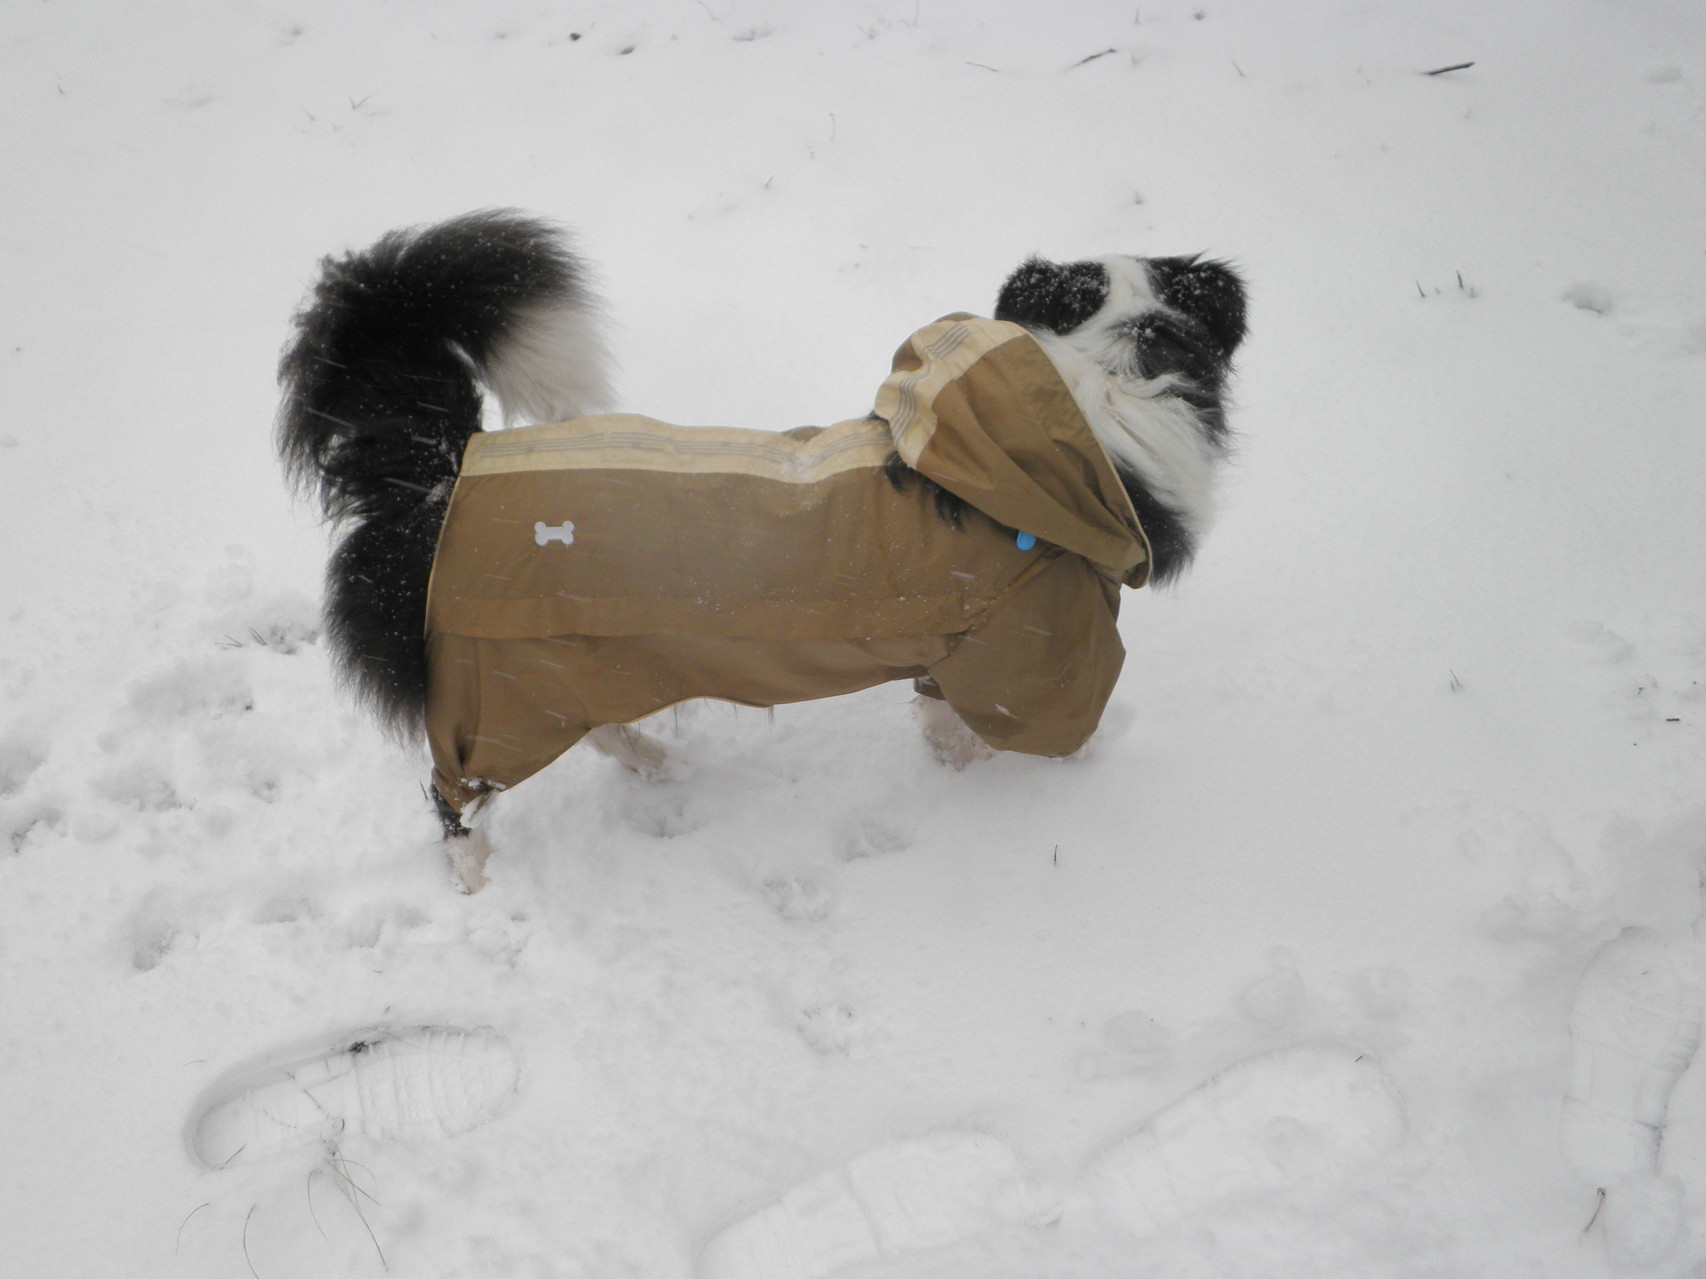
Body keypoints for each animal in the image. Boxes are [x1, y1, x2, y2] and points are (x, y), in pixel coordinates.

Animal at [276, 210, 1241, 893]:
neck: (1100, 385)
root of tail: (443, 472)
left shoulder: (963, 657)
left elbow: (943, 724)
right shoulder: (1030, 657)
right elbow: (1023, 736)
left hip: (556, 671)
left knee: (594, 735)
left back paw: (657, 763)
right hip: (493, 697)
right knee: (456, 806)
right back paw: (479, 889)